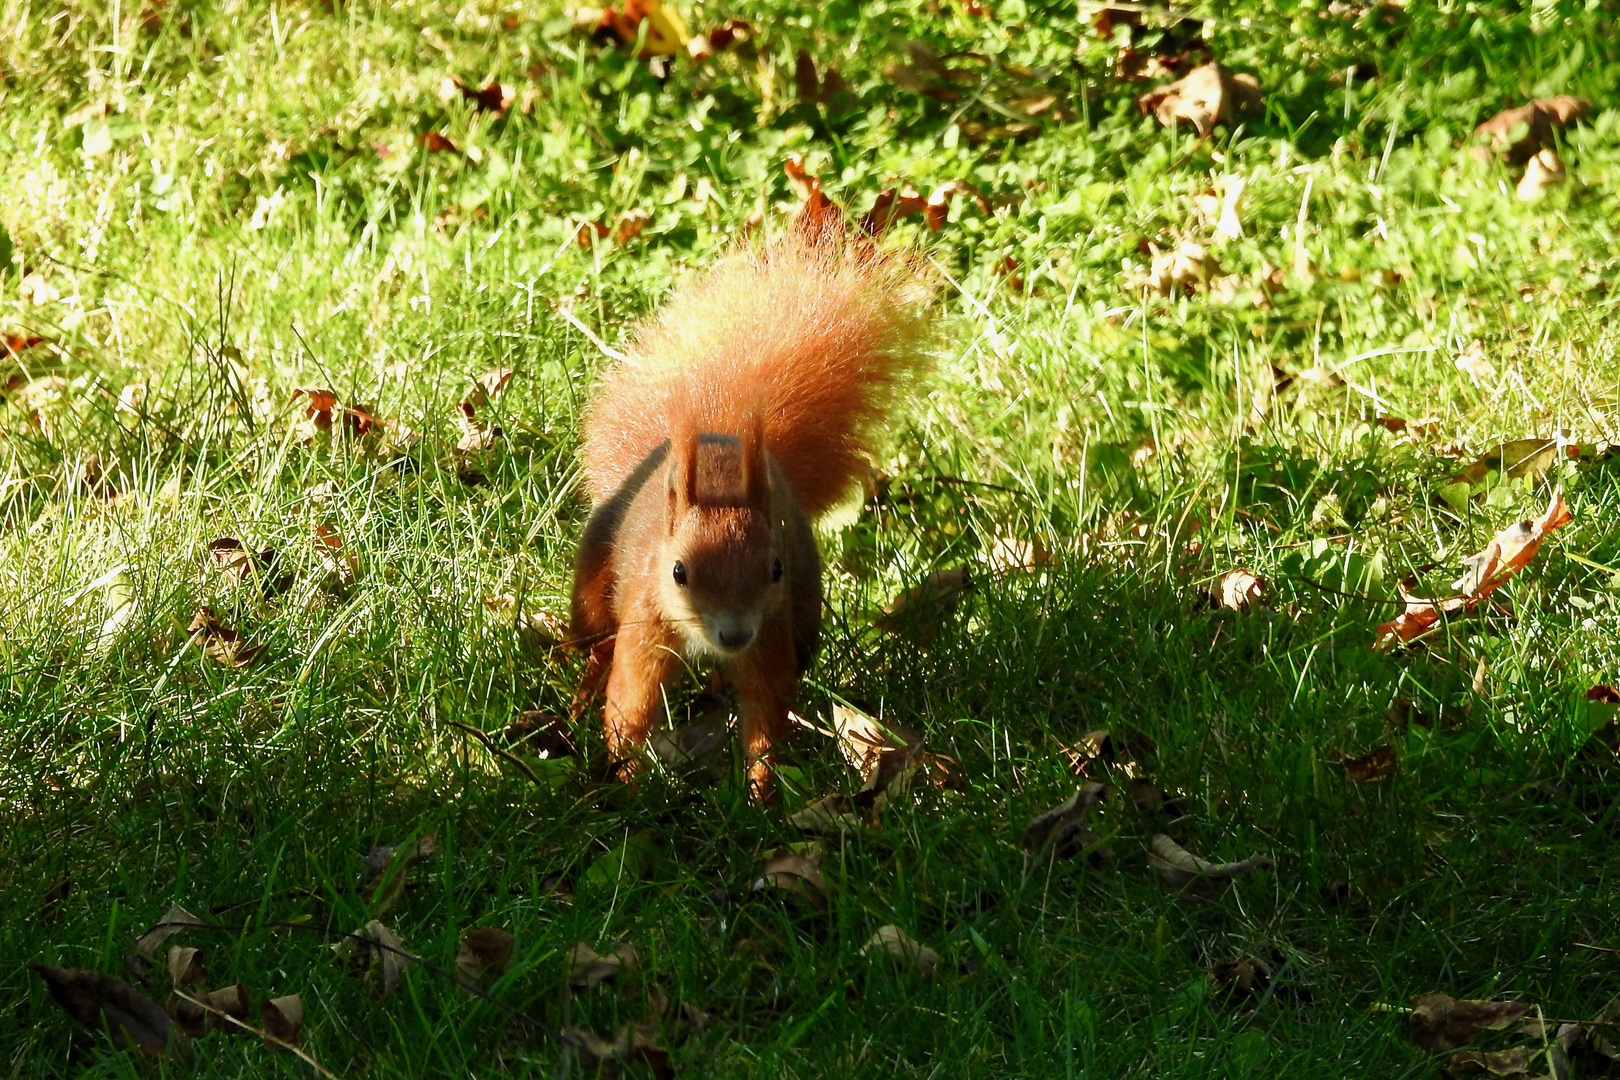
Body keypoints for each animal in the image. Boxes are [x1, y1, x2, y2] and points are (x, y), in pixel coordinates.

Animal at [570, 213, 933, 803]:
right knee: (595, 638)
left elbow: (765, 713)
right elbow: (629, 705)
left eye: (775, 569)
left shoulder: (771, 631)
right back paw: (580, 687)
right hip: (597, 574)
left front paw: (761, 793)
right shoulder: (648, 620)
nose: (734, 634)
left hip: (802, 618)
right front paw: (629, 783)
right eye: (678, 571)